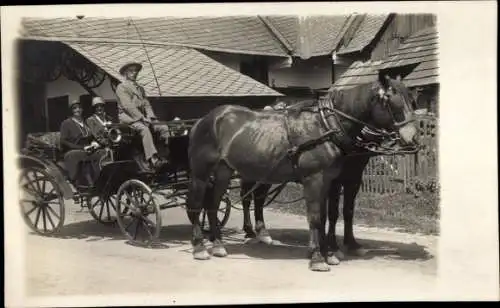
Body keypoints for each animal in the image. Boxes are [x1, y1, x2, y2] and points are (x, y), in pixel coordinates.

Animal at [184, 74, 418, 272]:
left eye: (412, 101)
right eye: (392, 102)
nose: (412, 139)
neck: (325, 125)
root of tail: (203, 120)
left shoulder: (331, 180)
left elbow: (327, 215)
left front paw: (329, 252)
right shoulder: (314, 179)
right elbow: (316, 217)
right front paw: (318, 258)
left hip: (225, 172)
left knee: (214, 204)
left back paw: (219, 244)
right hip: (201, 174)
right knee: (197, 205)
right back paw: (200, 247)